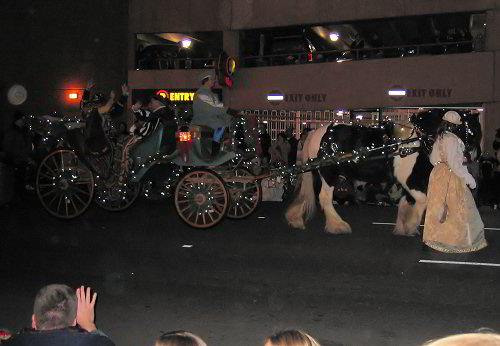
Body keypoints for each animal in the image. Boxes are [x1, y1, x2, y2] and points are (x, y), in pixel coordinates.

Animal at [288, 109, 482, 237]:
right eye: (471, 130)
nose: (476, 156)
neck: (415, 141)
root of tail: (318, 132)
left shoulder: (406, 182)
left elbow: (406, 202)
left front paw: (403, 225)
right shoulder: (408, 179)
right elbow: (423, 200)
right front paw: (411, 225)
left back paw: (296, 218)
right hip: (329, 175)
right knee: (324, 198)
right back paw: (337, 225)